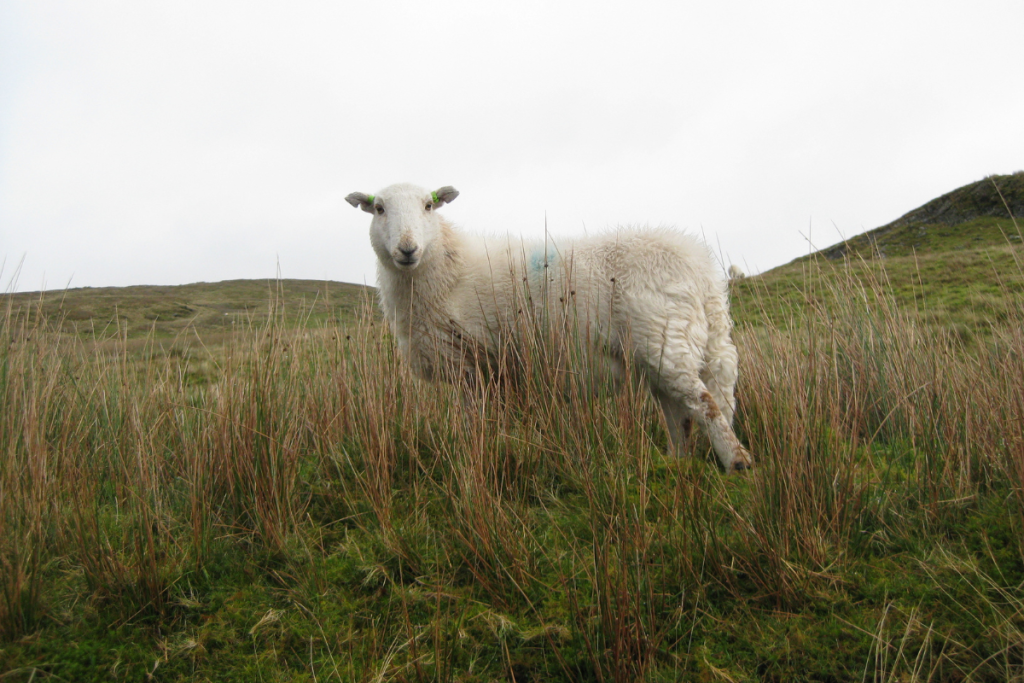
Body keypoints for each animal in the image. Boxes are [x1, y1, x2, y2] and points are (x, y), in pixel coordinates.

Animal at [345, 183, 753, 472]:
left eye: (428, 206)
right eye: (379, 208)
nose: (407, 248)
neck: (446, 269)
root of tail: (701, 268)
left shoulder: (471, 364)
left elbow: (472, 423)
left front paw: (473, 458)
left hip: (666, 337)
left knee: (706, 401)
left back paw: (737, 461)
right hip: (662, 352)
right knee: (679, 414)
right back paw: (676, 464)